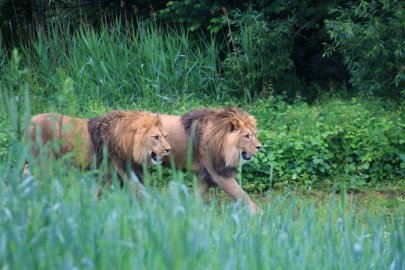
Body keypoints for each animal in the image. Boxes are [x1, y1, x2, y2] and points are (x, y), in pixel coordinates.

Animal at [25, 109, 170, 188]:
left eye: (165, 136)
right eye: (156, 137)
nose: (169, 149)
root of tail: (31, 120)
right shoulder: (110, 171)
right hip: (44, 161)